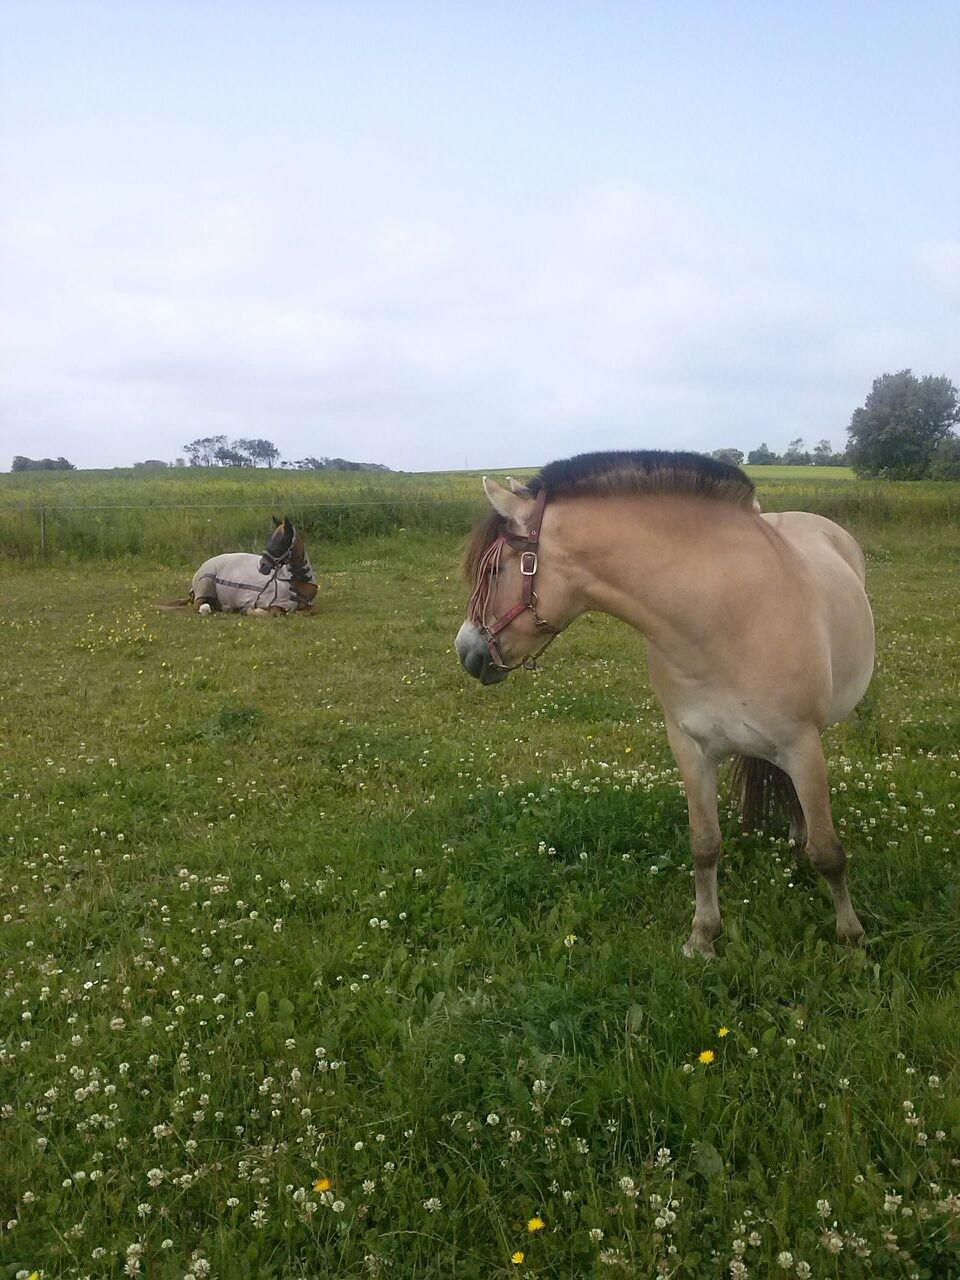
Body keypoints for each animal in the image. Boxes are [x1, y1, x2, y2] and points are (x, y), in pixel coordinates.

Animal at [458, 445, 880, 957]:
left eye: (494, 569)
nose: (467, 652)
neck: (725, 615)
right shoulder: (691, 747)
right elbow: (705, 844)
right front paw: (702, 937)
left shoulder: (802, 746)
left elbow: (829, 852)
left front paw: (852, 939)